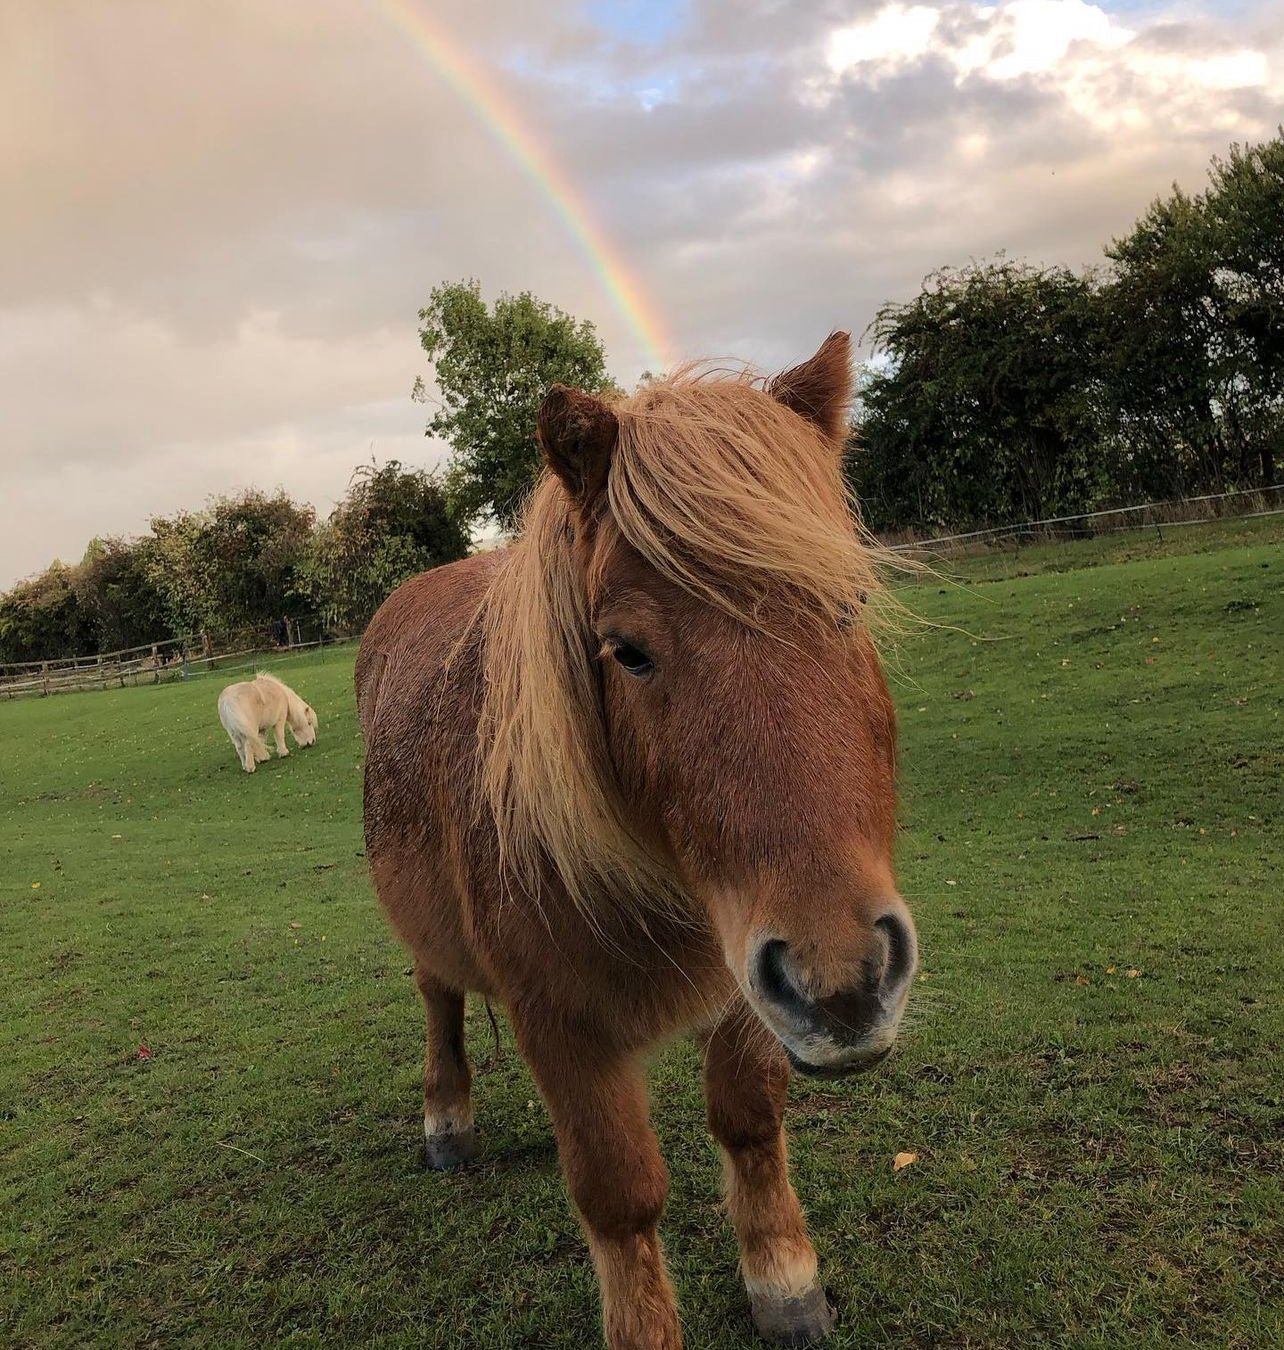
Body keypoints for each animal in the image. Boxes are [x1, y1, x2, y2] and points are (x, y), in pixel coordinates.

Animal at [356, 333, 918, 1349]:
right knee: (439, 1000)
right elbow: (619, 1195)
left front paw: (786, 1282)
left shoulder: (751, 978)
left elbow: (749, 1121)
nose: (846, 979)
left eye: (850, 605)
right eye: (626, 651)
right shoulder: (561, 1027)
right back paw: (447, 1123)